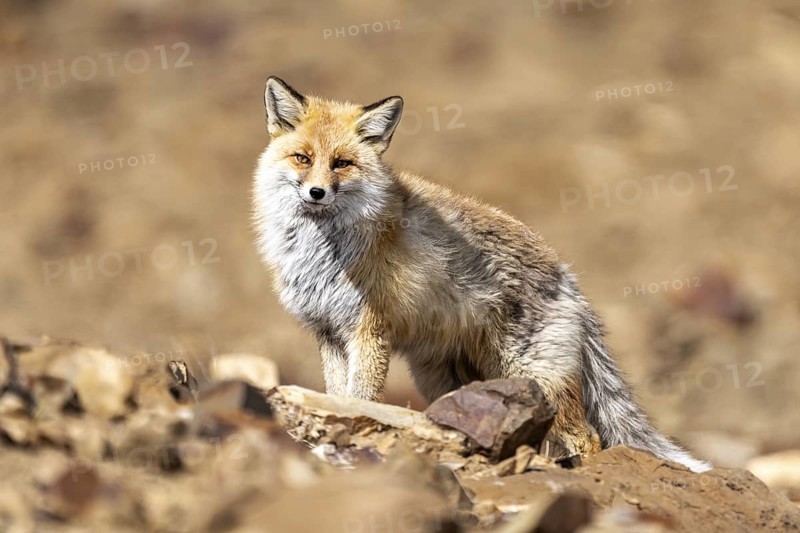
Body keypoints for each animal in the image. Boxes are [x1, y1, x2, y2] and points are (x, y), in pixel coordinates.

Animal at [251, 76, 710, 473]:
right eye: (303, 158)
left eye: (342, 164)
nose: (316, 193)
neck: (319, 252)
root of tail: (567, 275)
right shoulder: (328, 332)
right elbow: (336, 396)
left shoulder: (368, 331)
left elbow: (361, 399)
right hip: (446, 379)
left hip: (532, 375)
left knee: (588, 437)